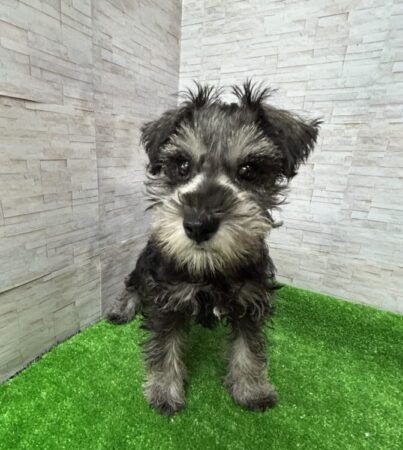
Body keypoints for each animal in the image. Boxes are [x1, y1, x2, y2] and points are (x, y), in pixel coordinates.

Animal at [107, 80, 320, 415]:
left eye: (249, 169)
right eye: (182, 165)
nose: (197, 225)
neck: (210, 270)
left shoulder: (251, 301)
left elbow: (249, 347)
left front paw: (252, 389)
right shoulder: (167, 299)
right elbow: (164, 346)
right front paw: (163, 391)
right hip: (147, 261)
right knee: (133, 281)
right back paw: (121, 308)